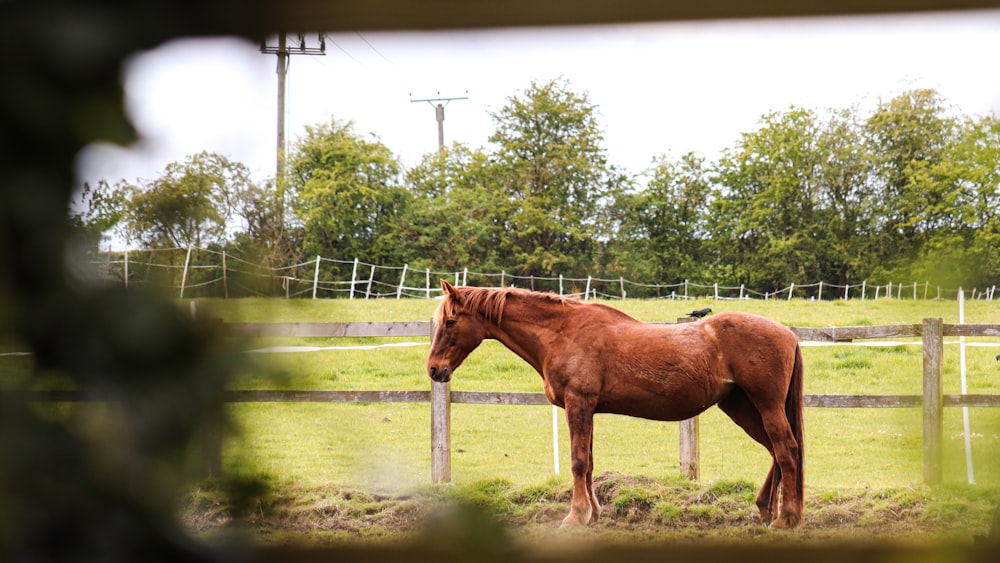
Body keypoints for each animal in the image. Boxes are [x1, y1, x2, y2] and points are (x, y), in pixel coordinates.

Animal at [428, 280, 804, 528]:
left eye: (450, 321)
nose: (434, 369)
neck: (563, 333)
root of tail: (789, 334)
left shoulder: (578, 405)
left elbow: (578, 462)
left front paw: (575, 516)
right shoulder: (587, 409)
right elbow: (590, 463)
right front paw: (593, 514)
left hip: (765, 406)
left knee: (786, 449)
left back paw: (786, 518)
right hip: (741, 408)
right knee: (777, 451)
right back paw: (768, 509)